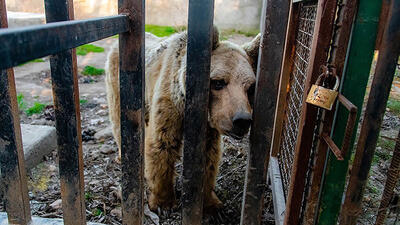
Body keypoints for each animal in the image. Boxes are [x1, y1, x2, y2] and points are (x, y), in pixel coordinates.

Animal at [106, 27, 260, 212]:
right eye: (218, 82)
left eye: (250, 87)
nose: (242, 120)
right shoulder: (170, 102)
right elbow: (162, 145)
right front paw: (164, 202)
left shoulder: (208, 124)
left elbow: (208, 155)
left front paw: (210, 202)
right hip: (121, 86)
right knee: (119, 121)